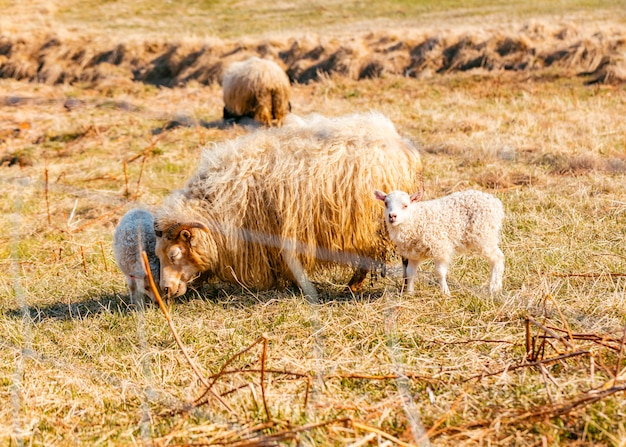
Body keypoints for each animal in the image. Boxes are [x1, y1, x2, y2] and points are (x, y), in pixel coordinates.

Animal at [154, 111, 422, 298]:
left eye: (174, 254)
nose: (164, 290)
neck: (217, 202)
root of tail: (398, 142)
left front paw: (299, 287)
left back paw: (369, 287)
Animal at [372, 190, 504, 298]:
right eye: (386, 203)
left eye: (405, 206)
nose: (392, 216)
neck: (415, 219)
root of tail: (495, 202)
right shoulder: (413, 254)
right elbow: (410, 273)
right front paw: (409, 293)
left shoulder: (440, 248)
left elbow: (439, 272)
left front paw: (445, 293)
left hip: (485, 235)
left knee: (498, 258)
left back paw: (494, 288)